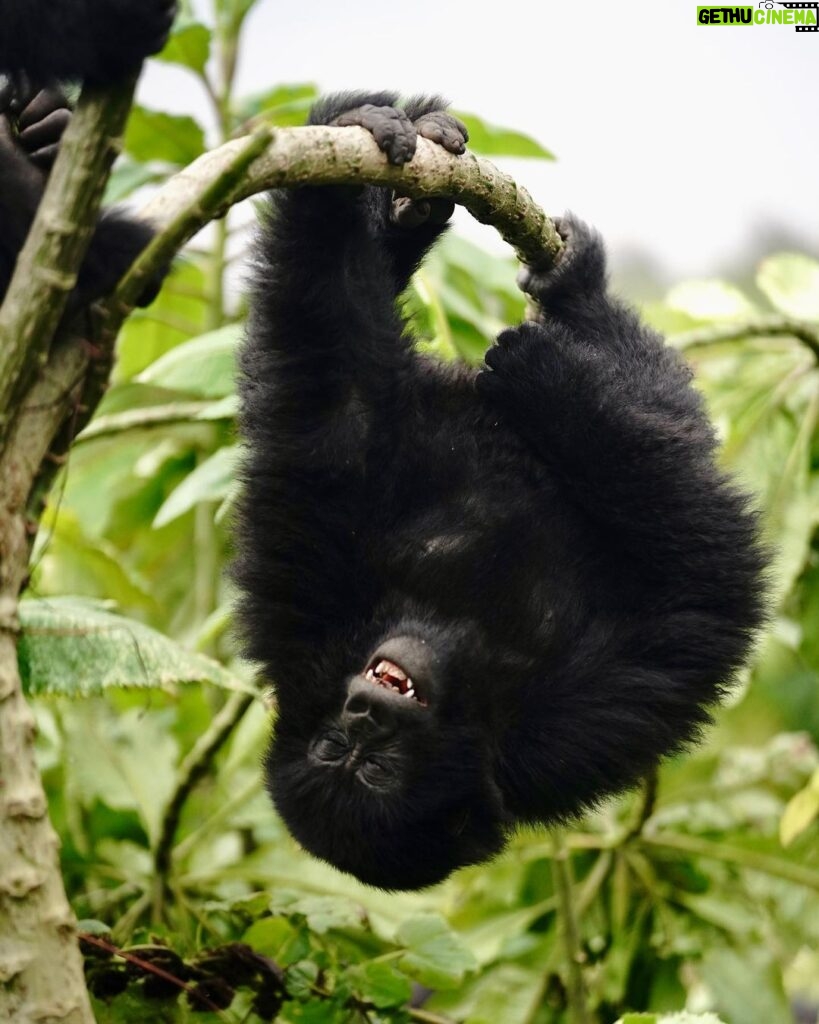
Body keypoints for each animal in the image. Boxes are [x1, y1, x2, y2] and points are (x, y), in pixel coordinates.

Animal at [233, 90, 765, 888]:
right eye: (343, 754)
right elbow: (704, 576)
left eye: (375, 763)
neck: (459, 648)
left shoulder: (567, 726)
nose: (365, 711)